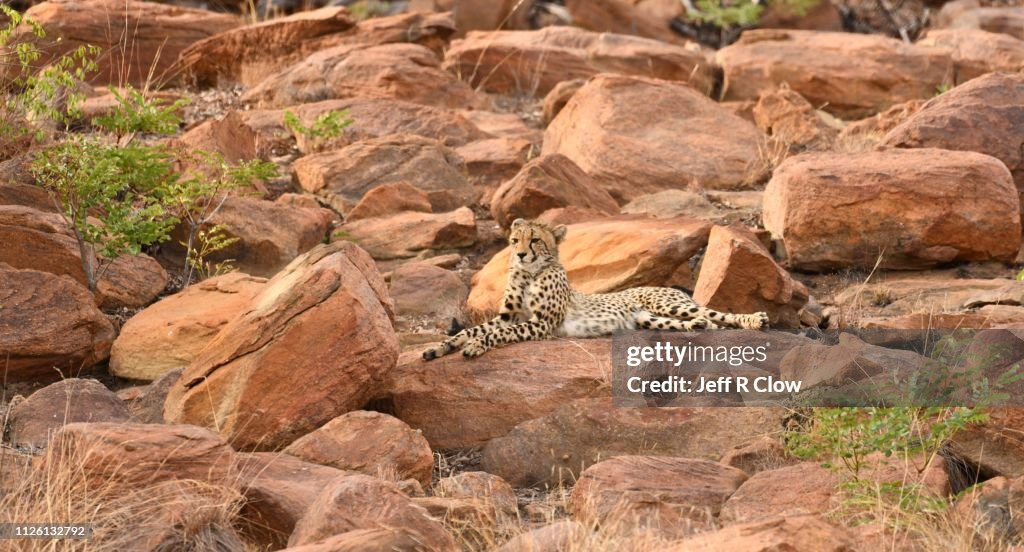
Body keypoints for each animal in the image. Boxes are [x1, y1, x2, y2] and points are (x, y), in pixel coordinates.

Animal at [422, 218, 770, 360]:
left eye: (534, 240)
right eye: (514, 239)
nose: (519, 254)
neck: (531, 272)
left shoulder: (542, 323)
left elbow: (494, 334)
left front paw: (475, 347)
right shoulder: (507, 315)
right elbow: (470, 329)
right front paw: (440, 347)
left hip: (671, 304)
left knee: (718, 315)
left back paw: (755, 320)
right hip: (647, 318)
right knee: (703, 322)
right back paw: (696, 327)